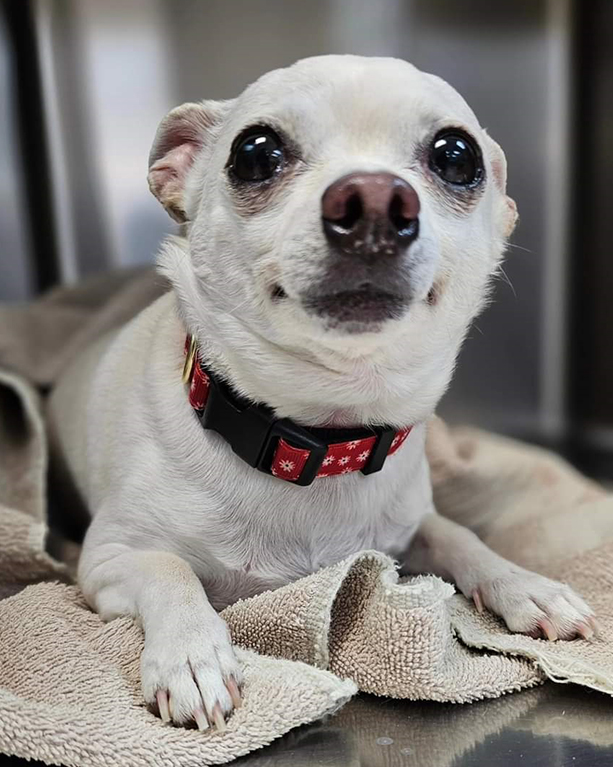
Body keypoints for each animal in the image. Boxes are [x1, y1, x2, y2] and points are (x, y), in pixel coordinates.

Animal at [50, 55, 596, 732]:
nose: (375, 200)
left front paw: (525, 585)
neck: (320, 439)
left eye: (456, 156)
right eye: (255, 153)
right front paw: (192, 655)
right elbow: (168, 567)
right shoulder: (107, 559)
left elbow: (459, 535)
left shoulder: (409, 530)